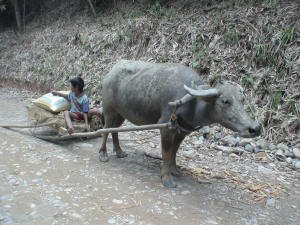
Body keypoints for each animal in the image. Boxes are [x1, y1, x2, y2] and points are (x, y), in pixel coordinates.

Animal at [98, 60, 260, 188]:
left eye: (242, 100)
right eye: (225, 101)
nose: (255, 128)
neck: (192, 104)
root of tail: (110, 72)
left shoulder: (183, 130)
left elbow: (174, 151)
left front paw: (174, 170)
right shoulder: (166, 127)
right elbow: (166, 152)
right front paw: (166, 178)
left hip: (121, 114)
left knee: (115, 130)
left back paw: (119, 152)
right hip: (109, 110)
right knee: (105, 129)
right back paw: (103, 154)